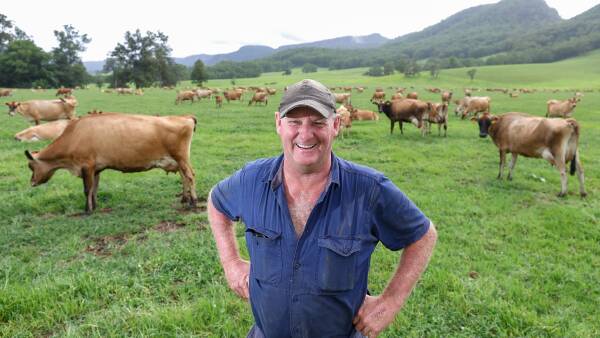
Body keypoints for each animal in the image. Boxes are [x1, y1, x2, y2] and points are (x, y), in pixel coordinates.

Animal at [24, 113, 199, 214]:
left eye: (31, 166)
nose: (31, 182)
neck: (74, 135)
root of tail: (185, 117)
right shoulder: (95, 169)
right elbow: (94, 189)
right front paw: (94, 206)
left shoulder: (86, 166)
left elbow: (87, 190)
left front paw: (87, 210)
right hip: (180, 159)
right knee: (184, 176)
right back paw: (185, 199)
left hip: (181, 157)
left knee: (190, 176)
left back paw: (194, 202)